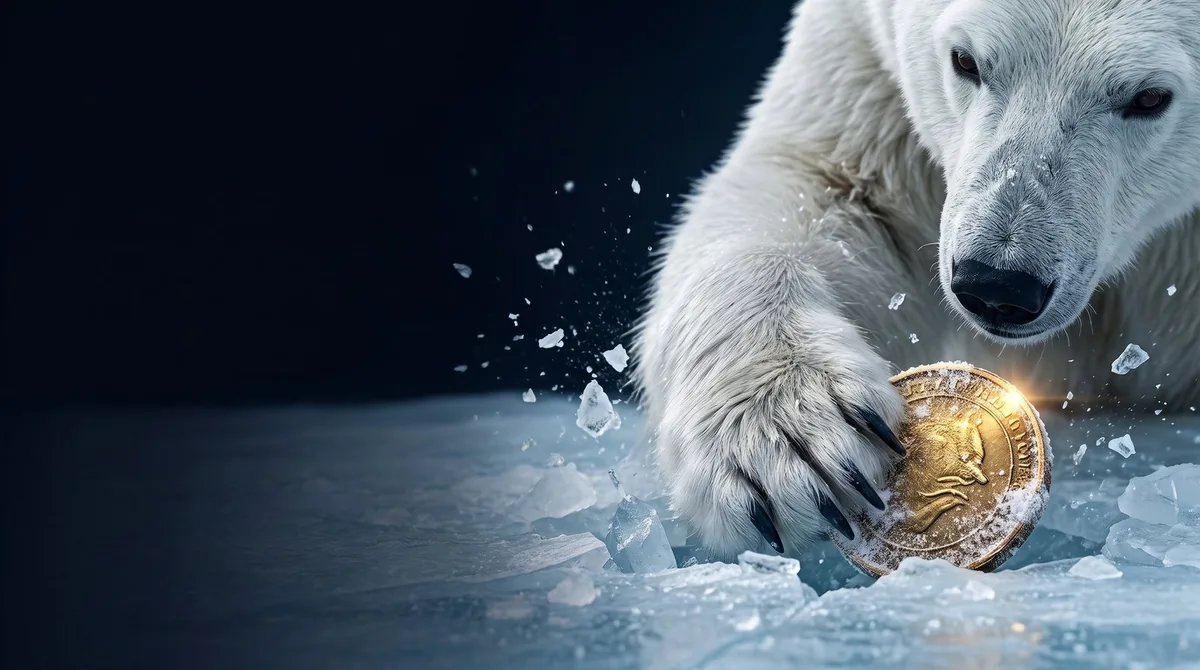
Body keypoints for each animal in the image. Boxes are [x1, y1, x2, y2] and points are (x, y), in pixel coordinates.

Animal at [632, 0, 1200, 561]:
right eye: (965, 61)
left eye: (1150, 97)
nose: (998, 285)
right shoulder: (865, 69)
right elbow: (814, 185)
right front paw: (788, 446)